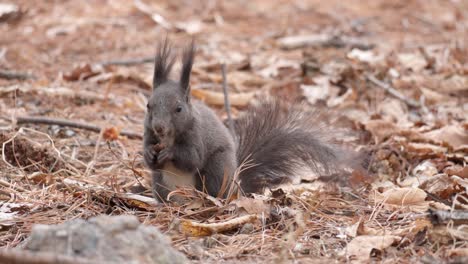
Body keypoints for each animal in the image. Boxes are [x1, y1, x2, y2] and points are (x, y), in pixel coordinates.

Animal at [143, 38, 358, 202]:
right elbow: (149, 158)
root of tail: (236, 189)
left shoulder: (197, 135)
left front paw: (170, 152)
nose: (159, 127)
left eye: (179, 109)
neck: (168, 137)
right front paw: (148, 153)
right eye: (148, 105)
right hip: (160, 183)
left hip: (216, 169)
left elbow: (192, 158)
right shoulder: (148, 134)